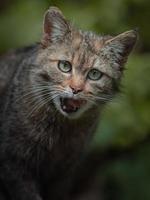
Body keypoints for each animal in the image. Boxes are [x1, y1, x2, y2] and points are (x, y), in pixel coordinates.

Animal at [0, 6, 137, 200]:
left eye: (94, 74)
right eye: (65, 66)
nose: (76, 88)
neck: (60, 130)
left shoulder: (64, 174)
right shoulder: (13, 164)